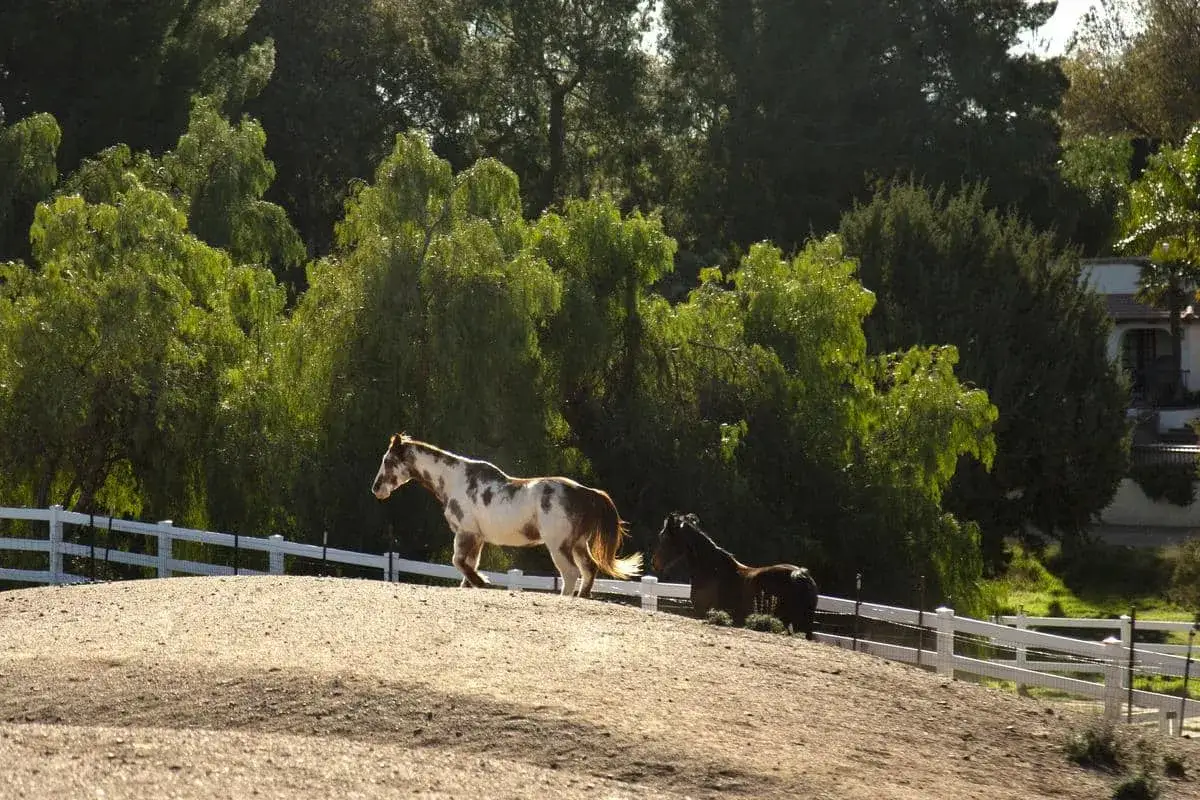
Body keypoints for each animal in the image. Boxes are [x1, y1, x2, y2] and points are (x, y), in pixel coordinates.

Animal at [371, 433, 642, 597]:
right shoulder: (477, 538)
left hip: (559, 546)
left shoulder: (466, 532)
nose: (376, 489)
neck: (454, 480)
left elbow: (459, 562)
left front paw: (483, 582)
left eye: (388, 460)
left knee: (571, 574)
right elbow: (468, 566)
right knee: (589, 570)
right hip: (577, 544)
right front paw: (474, 584)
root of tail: (586, 493)